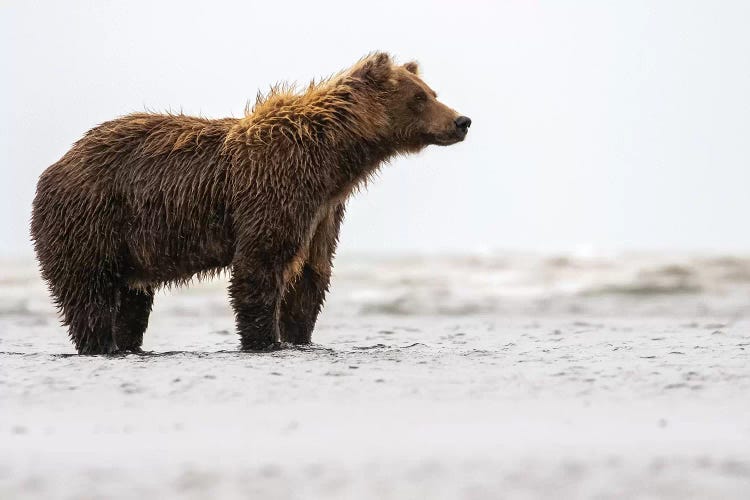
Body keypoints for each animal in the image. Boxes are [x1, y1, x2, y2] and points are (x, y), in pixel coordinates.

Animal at [30, 52, 476, 354]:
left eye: (433, 92)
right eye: (419, 97)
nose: (462, 121)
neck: (334, 160)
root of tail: (55, 166)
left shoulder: (324, 212)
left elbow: (311, 276)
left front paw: (298, 336)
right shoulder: (276, 188)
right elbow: (261, 265)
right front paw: (265, 339)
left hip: (130, 248)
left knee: (132, 302)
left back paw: (126, 342)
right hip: (92, 219)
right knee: (89, 294)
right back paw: (98, 343)